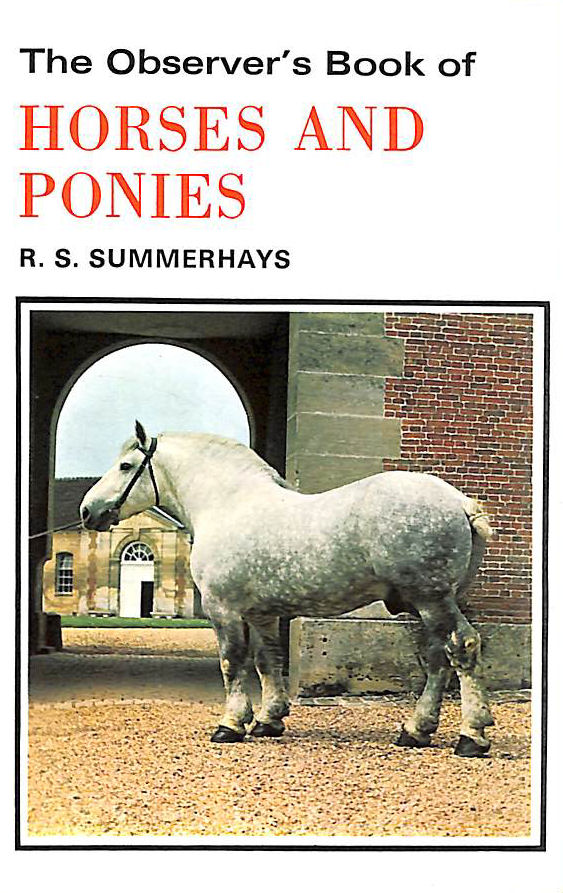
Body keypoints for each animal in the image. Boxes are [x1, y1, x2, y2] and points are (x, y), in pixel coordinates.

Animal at [80, 421, 495, 757]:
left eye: (125, 466)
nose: (88, 511)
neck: (228, 503)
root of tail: (460, 503)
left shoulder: (223, 608)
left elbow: (232, 661)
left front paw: (231, 724)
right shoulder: (262, 614)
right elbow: (268, 662)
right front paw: (269, 719)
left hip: (432, 600)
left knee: (461, 649)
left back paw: (471, 735)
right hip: (428, 603)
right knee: (439, 659)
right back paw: (416, 730)